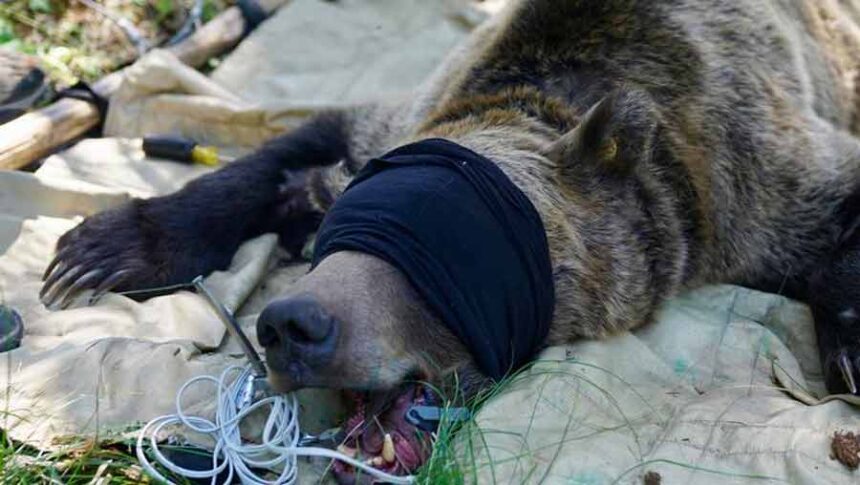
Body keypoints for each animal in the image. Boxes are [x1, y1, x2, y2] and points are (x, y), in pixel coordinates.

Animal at [40, 0, 860, 479]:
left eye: (435, 257)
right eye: (338, 241)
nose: (291, 324)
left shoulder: (740, 172)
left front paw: (850, 349)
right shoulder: (404, 116)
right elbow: (291, 147)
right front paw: (101, 250)